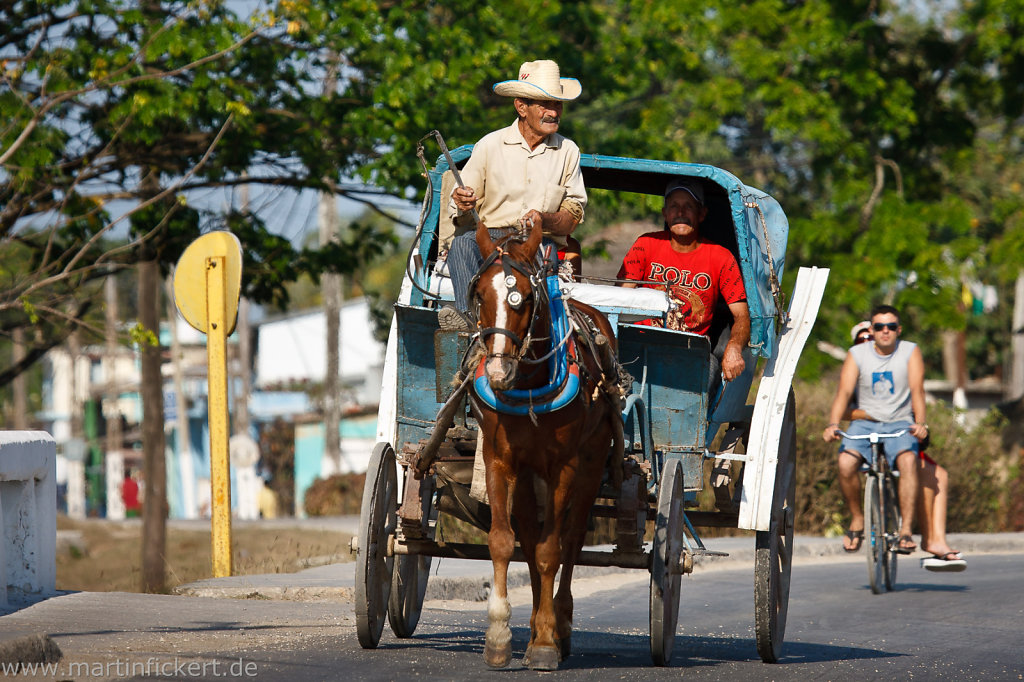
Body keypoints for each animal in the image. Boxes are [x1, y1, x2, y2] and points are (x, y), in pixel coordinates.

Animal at [466, 219, 622, 667]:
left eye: (525, 297)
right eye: (480, 294)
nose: (498, 373)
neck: (530, 384)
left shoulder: (564, 467)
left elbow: (552, 549)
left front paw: (546, 644)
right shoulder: (500, 459)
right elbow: (504, 542)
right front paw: (499, 636)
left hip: (590, 463)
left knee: (571, 539)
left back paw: (559, 625)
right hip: (527, 475)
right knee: (530, 537)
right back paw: (538, 622)